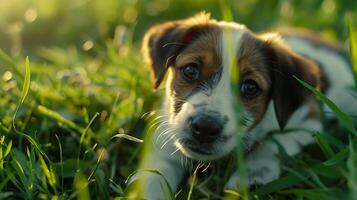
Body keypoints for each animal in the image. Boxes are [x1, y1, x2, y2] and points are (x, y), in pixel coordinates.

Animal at [129, 13, 354, 199]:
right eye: (191, 70)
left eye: (250, 87)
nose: (205, 128)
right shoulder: (167, 127)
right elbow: (158, 166)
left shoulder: (307, 122)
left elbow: (272, 144)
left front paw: (254, 172)